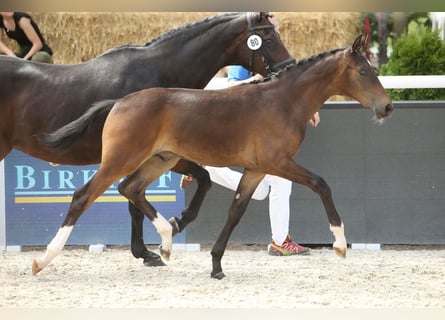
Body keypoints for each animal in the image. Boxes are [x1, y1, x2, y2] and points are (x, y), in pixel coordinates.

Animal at [0, 12, 294, 266]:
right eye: (269, 38)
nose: (289, 68)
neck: (157, 71)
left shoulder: (164, 154)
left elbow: (199, 180)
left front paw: (167, 231)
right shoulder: (150, 154)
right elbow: (139, 200)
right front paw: (153, 246)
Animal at [37, 33, 392, 278]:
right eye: (363, 71)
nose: (387, 107)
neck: (283, 101)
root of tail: (119, 102)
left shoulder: (255, 169)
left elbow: (236, 211)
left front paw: (216, 264)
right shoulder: (277, 162)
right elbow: (321, 184)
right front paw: (340, 244)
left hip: (160, 159)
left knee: (130, 189)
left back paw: (166, 239)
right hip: (120, 160)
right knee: (84, 196)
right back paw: (42, 259)